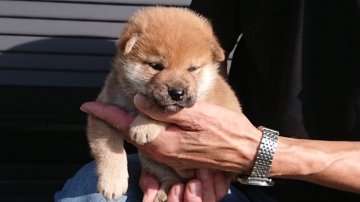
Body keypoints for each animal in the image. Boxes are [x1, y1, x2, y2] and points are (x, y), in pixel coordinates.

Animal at [86, 6, 240, 202]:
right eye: (156, 66)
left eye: (192, 69)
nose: (177, 93)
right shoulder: (103, 111)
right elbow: (109, 147)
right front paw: (113, 182)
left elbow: (161, 113)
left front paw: (144, 125)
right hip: (152, 161)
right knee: (173, 178)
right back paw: (165, 192)